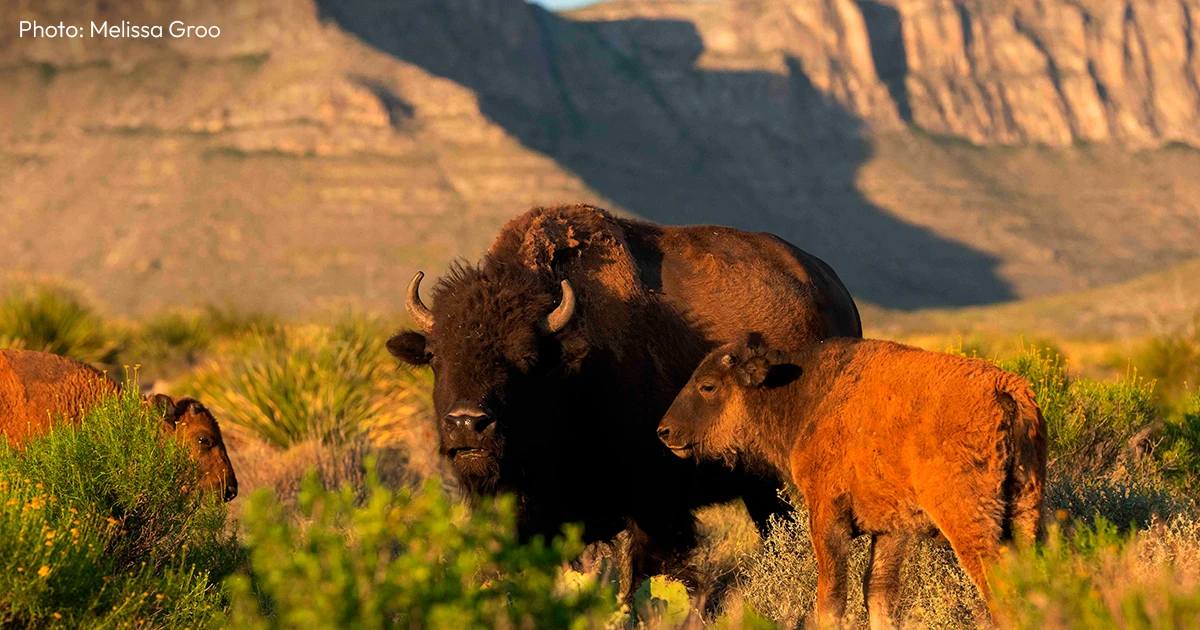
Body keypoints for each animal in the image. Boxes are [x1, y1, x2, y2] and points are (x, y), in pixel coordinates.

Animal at [386, 204, 864, 583]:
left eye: (527, 356)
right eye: (435, 355)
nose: (467, 424)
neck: (574, 371)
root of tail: (837, 293)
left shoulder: (656, 508)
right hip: (761, 487)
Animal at [662, 336, 1046, 624]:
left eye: (708, 386)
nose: (664, 431)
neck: (804, 394)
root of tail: (1005, 389)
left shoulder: (827, 515)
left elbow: (831, 594)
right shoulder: (892, 530)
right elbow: (878, 593)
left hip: (969, 521)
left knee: (999, 590)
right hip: (1026, 512)